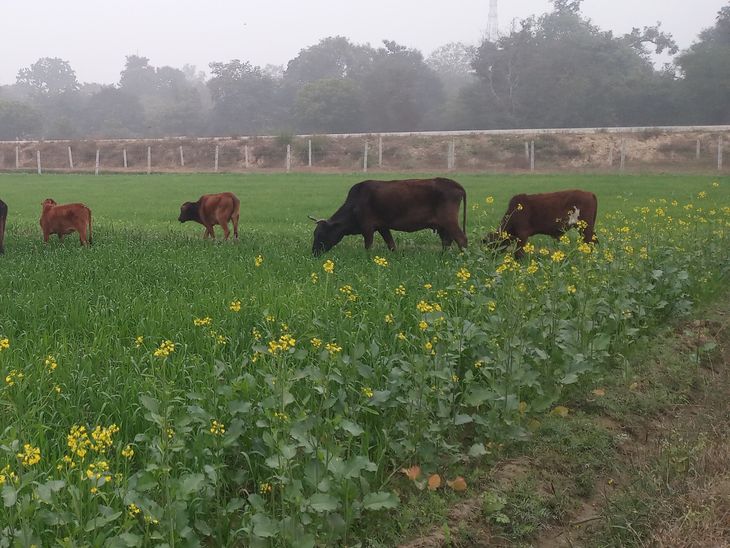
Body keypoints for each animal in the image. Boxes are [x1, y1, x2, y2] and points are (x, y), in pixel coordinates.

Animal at [310, 178, 467, 255]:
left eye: (321, 234)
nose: (314, 253)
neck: (354, 205)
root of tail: (455, 184)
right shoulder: (383, 227)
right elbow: (391, 245)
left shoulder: (367, 228)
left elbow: (368, 246)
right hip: (442, 226)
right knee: (447, 241)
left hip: (449, 221)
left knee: (461, 239)